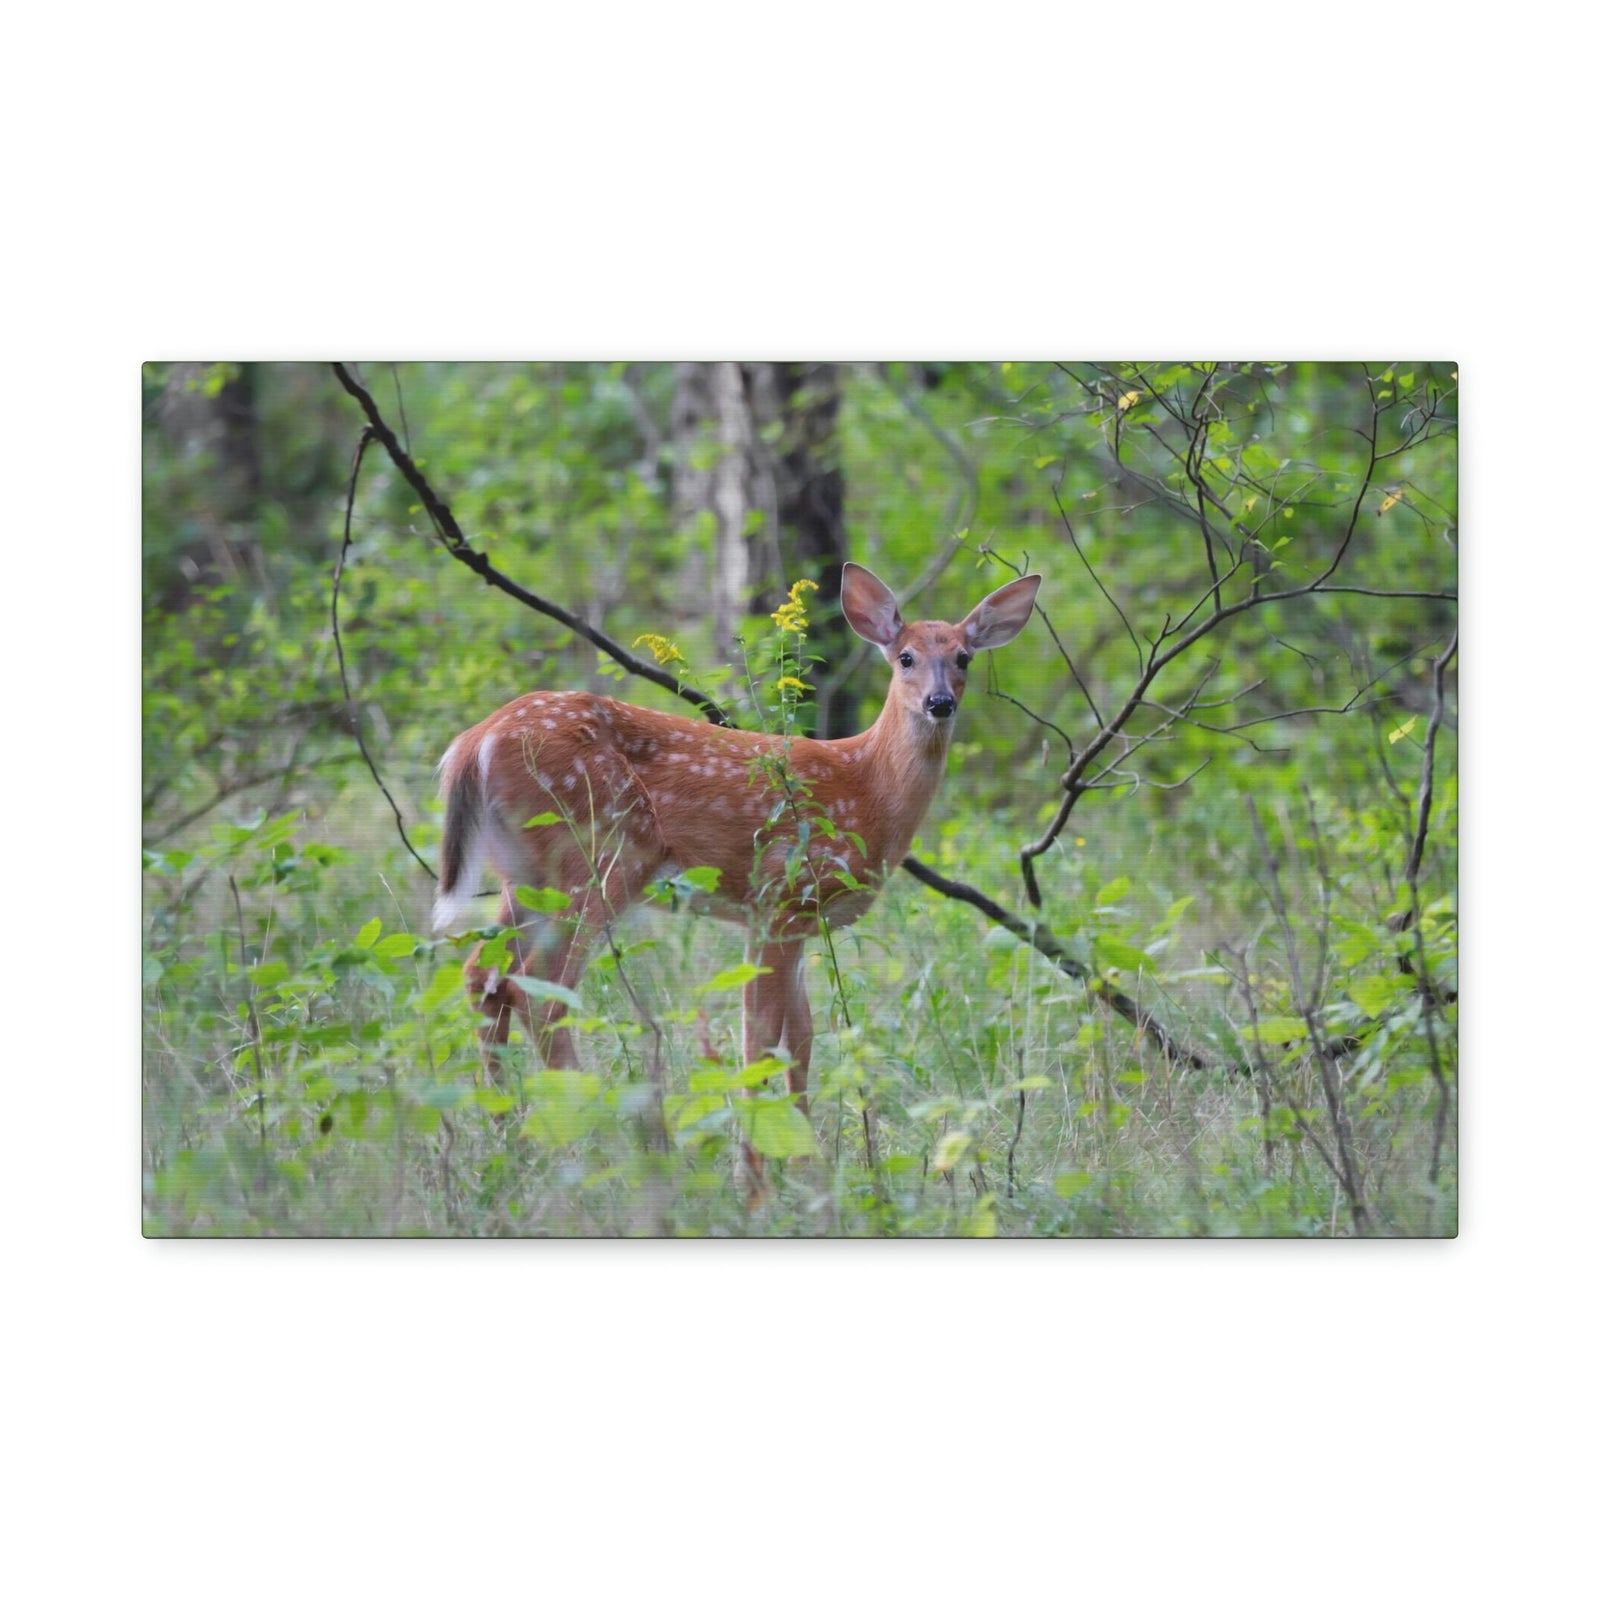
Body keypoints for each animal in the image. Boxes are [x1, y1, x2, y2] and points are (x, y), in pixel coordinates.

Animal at [431, 562, 1041, 1172]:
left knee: (483, 975)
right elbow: (761, 1036)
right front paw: (754, 1162)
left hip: (526, 874)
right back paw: (601, 1139)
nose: (940, 702)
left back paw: (509, 1135)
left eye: (963, 657)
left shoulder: (795, 920)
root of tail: (473, 743)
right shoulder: (780, 894)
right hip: (601, 854)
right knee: (540, 988)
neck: (867, 788)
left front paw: (806, 1161)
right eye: (906, 657)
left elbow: (801, 1038)